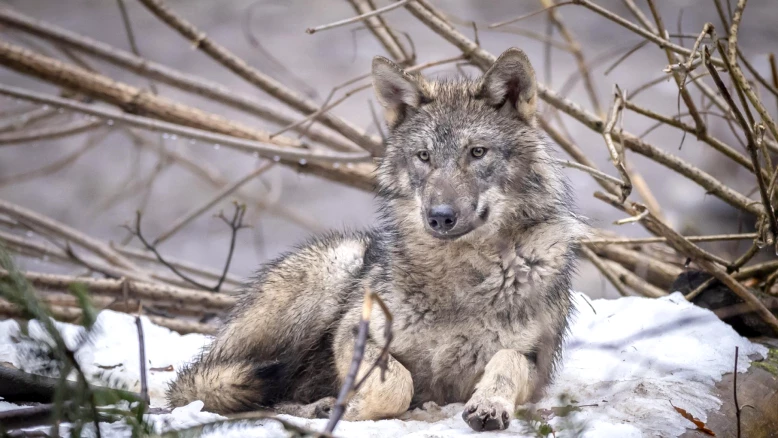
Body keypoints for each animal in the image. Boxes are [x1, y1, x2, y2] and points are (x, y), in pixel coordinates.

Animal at [166, 47, 586, 432]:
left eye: (477, 152)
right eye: (424, 156)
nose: (440, 216)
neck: (460, 277)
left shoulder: (535, 364)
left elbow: (506, 361)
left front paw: (489, 405)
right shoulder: (353, 334)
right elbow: (397, 383)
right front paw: (351, 408)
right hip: (333, 270)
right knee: (220, 387)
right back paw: (317, 405)